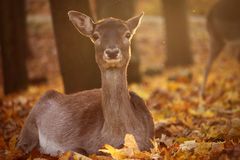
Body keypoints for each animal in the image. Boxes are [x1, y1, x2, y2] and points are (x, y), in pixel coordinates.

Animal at [17, 10, 156, 156]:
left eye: (127, 34)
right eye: (95, 36)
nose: (112, 52)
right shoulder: (75, 143)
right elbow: (79, 151)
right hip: (29, 126)